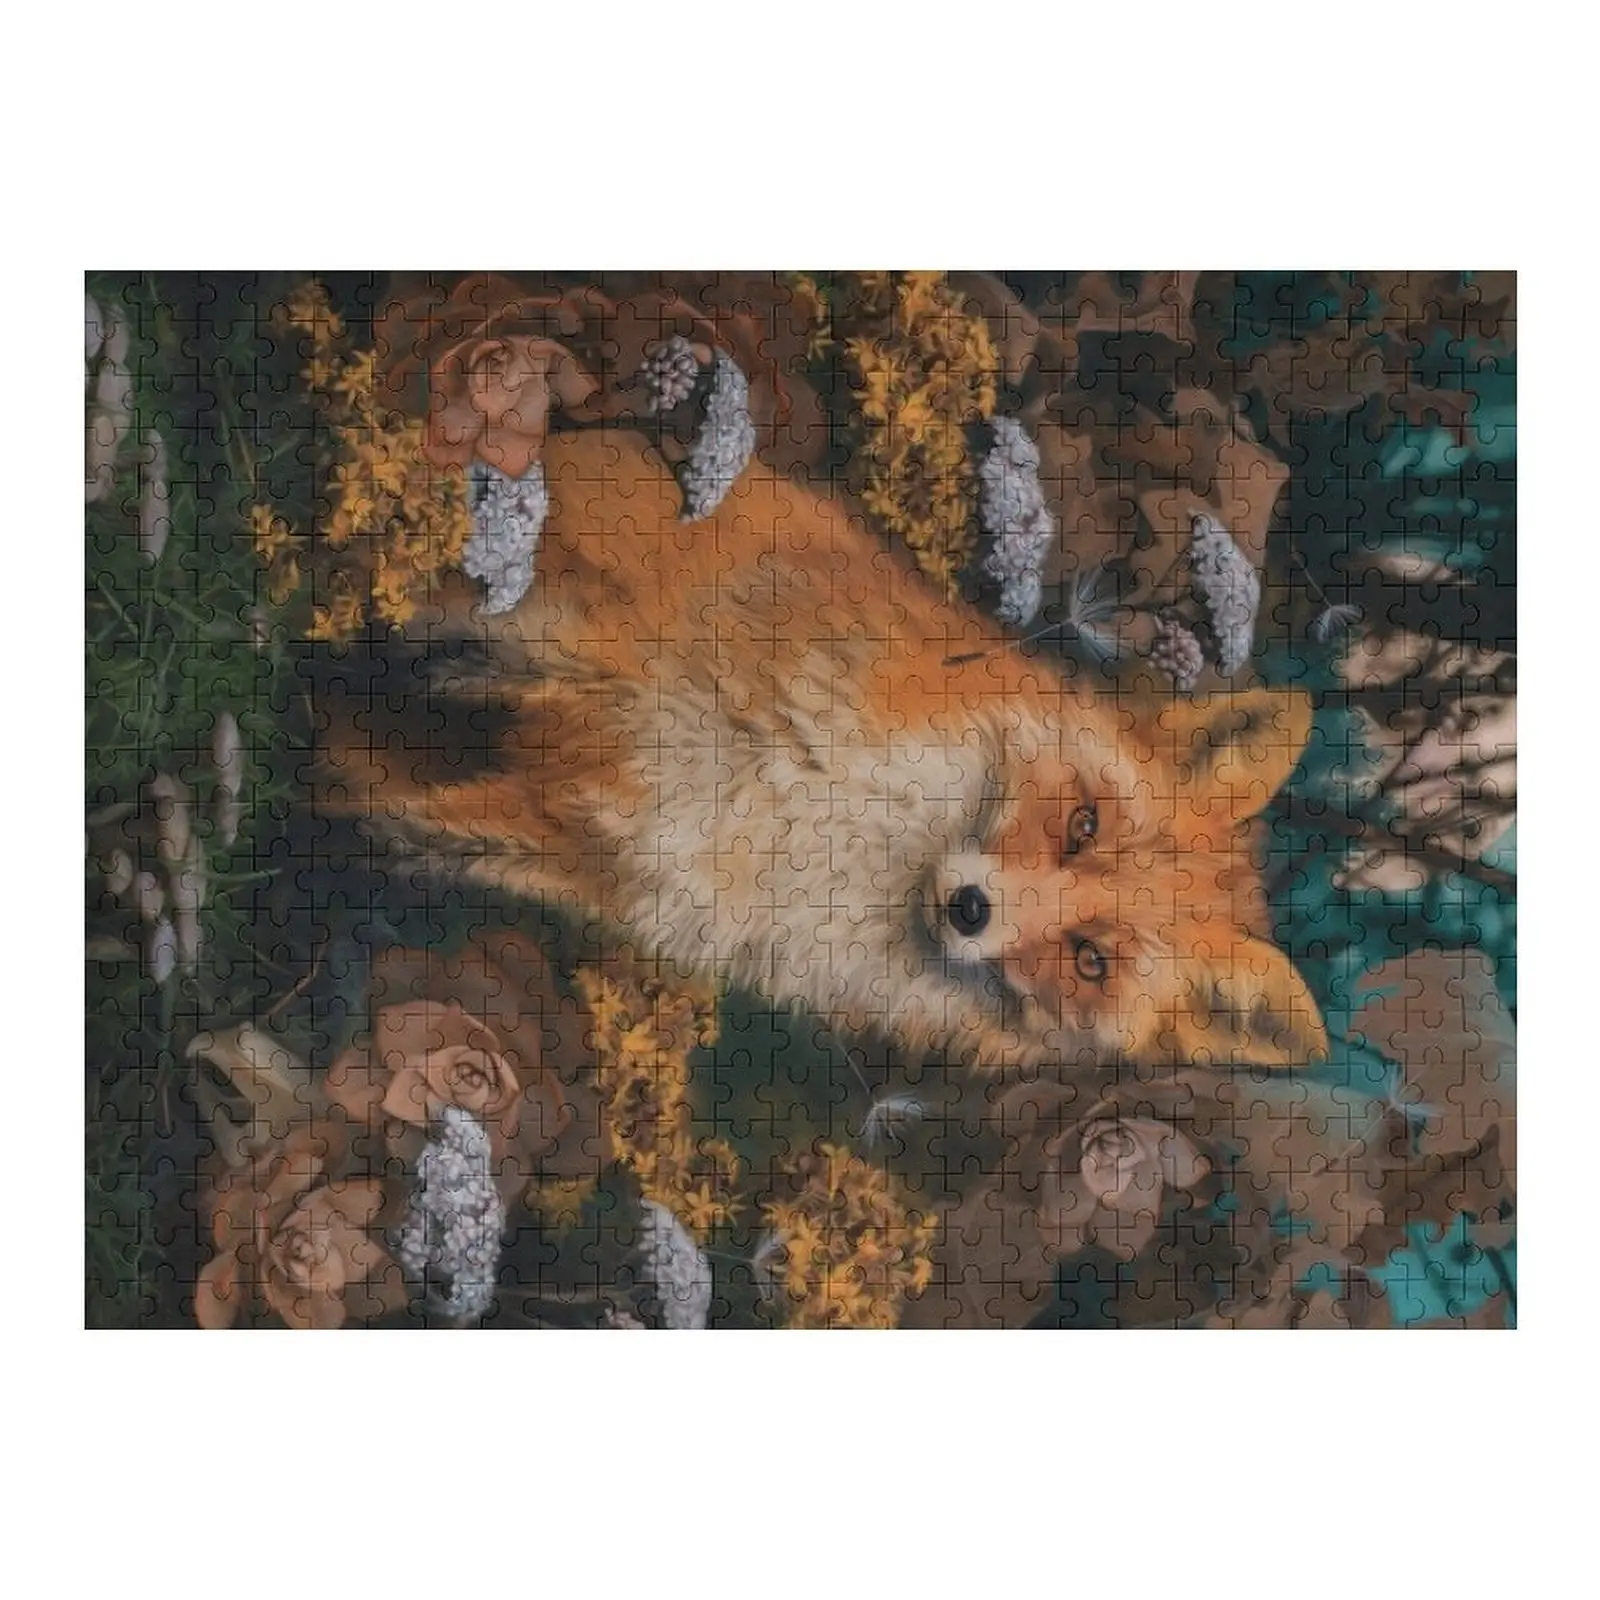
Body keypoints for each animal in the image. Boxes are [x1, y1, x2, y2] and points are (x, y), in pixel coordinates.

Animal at [317, 423, 1327, 1075]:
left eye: (1090, 962)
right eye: (1081, 823)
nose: (969, 909)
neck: (817, 836)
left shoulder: (604, 861)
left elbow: (383, 820)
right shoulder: (603, 655)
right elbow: (469, 649)